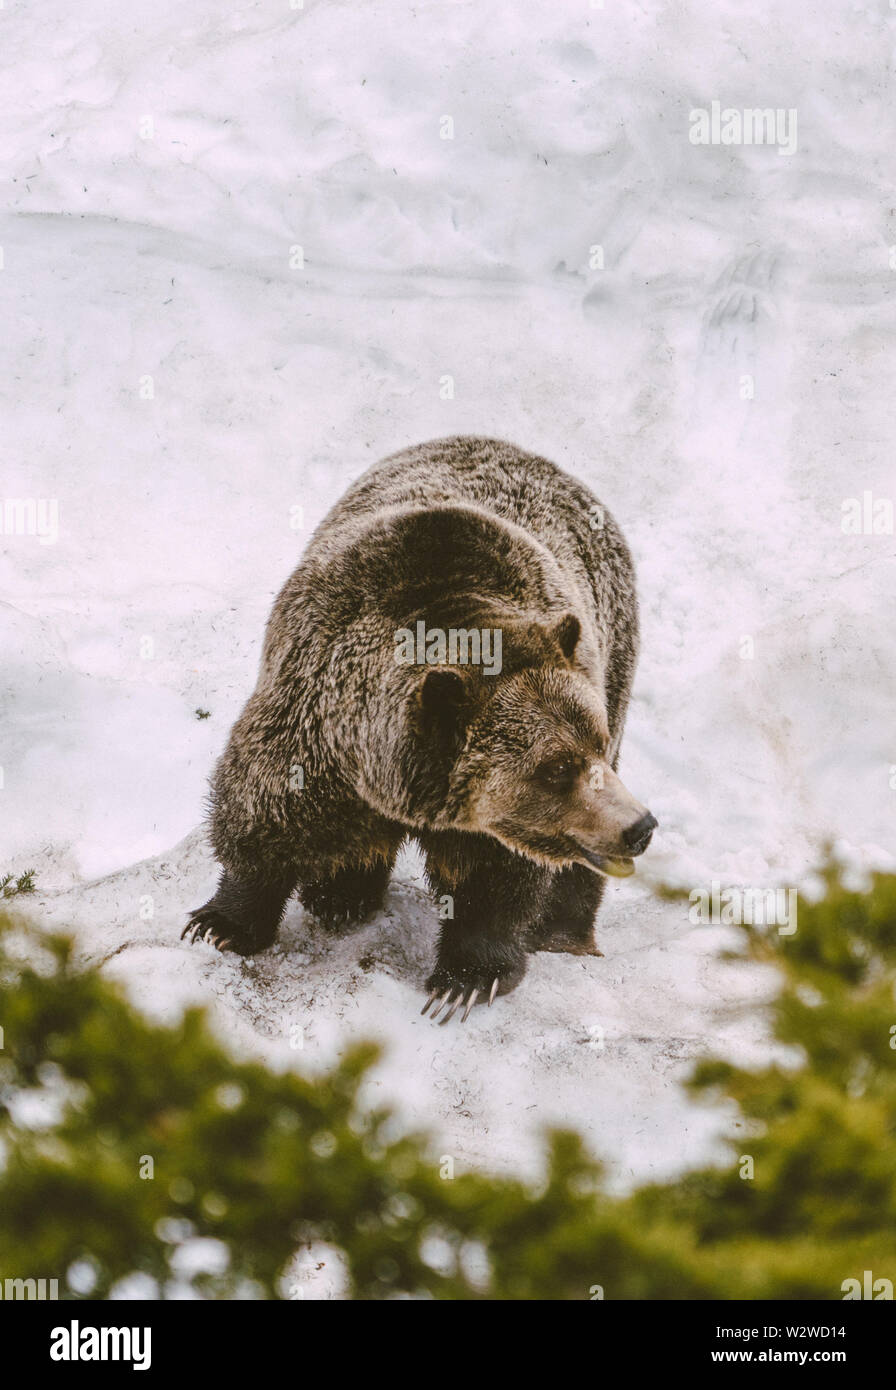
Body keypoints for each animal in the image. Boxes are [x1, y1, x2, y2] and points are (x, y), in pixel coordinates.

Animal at [182, 435, 656, 1024]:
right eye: (556, 767)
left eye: (588, 744)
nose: (639, 826)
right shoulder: (310, 723)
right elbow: (261, 811)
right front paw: (220, 924)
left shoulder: (494, 817)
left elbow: (496, 881)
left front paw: (465, 979)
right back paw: (341, 896)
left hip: (613, 656)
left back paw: (565, 933)